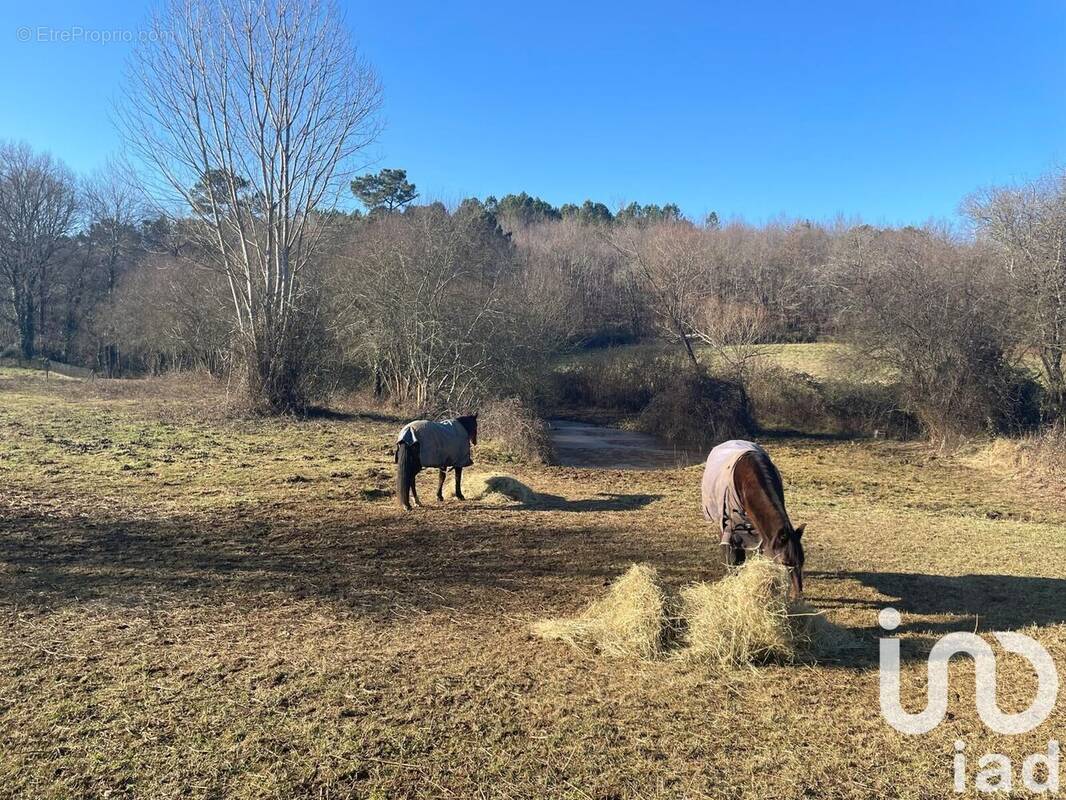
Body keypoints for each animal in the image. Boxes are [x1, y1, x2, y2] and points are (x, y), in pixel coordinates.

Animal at [699, 441, 805, 597]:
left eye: (802, 561)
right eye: (785, 562)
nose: (797, 595)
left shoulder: (762, 533)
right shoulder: (732, 527)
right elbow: (733, 556)